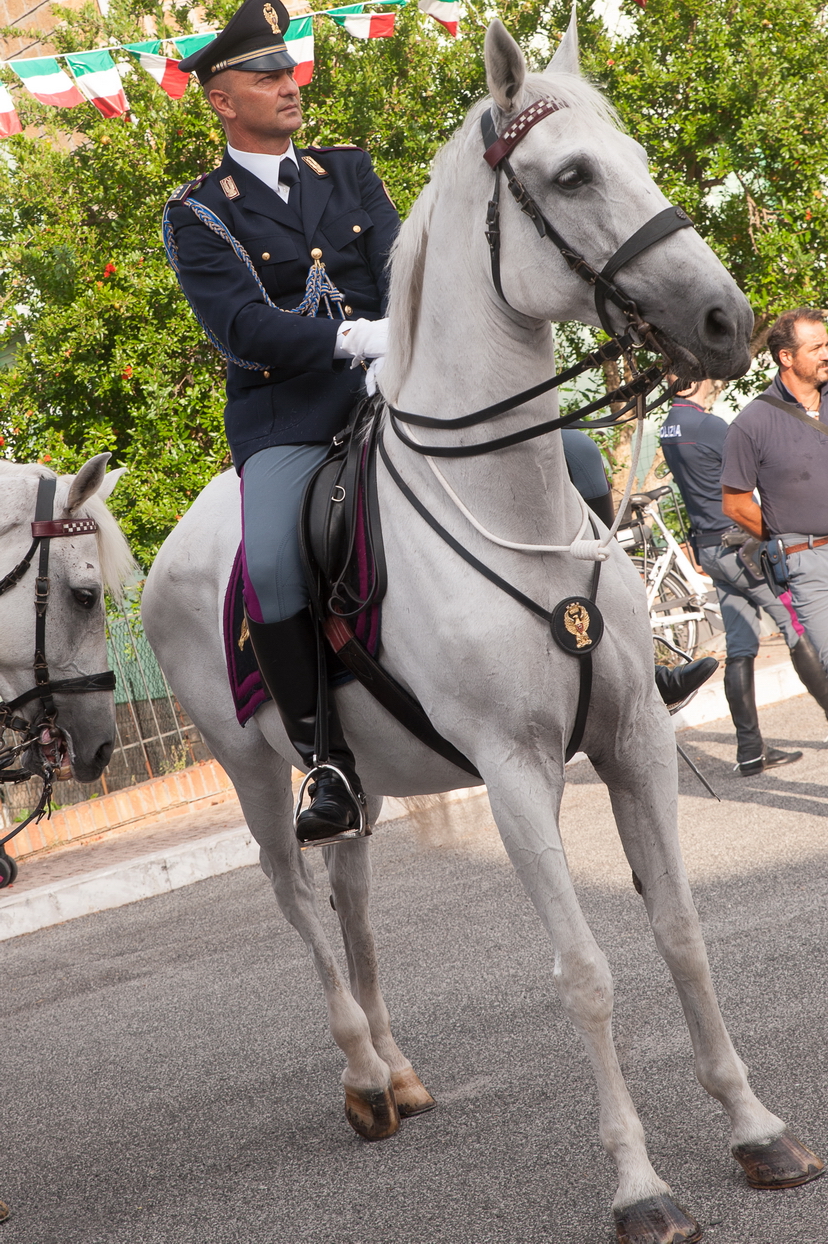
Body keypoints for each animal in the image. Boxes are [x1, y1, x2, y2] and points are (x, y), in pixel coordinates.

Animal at [142, 18, 823, 1243]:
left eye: (635, 153)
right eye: (572, 175)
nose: (725, 323)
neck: (509, 499)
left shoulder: (633, 743)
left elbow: (682, 932)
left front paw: (756, 1129)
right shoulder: (512, 772)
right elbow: (586, 969)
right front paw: (641, 1186)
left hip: (351, 778)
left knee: (353, 896)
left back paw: (402, 1071)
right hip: (252, 774)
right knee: (296, 900)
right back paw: (364, 1075)